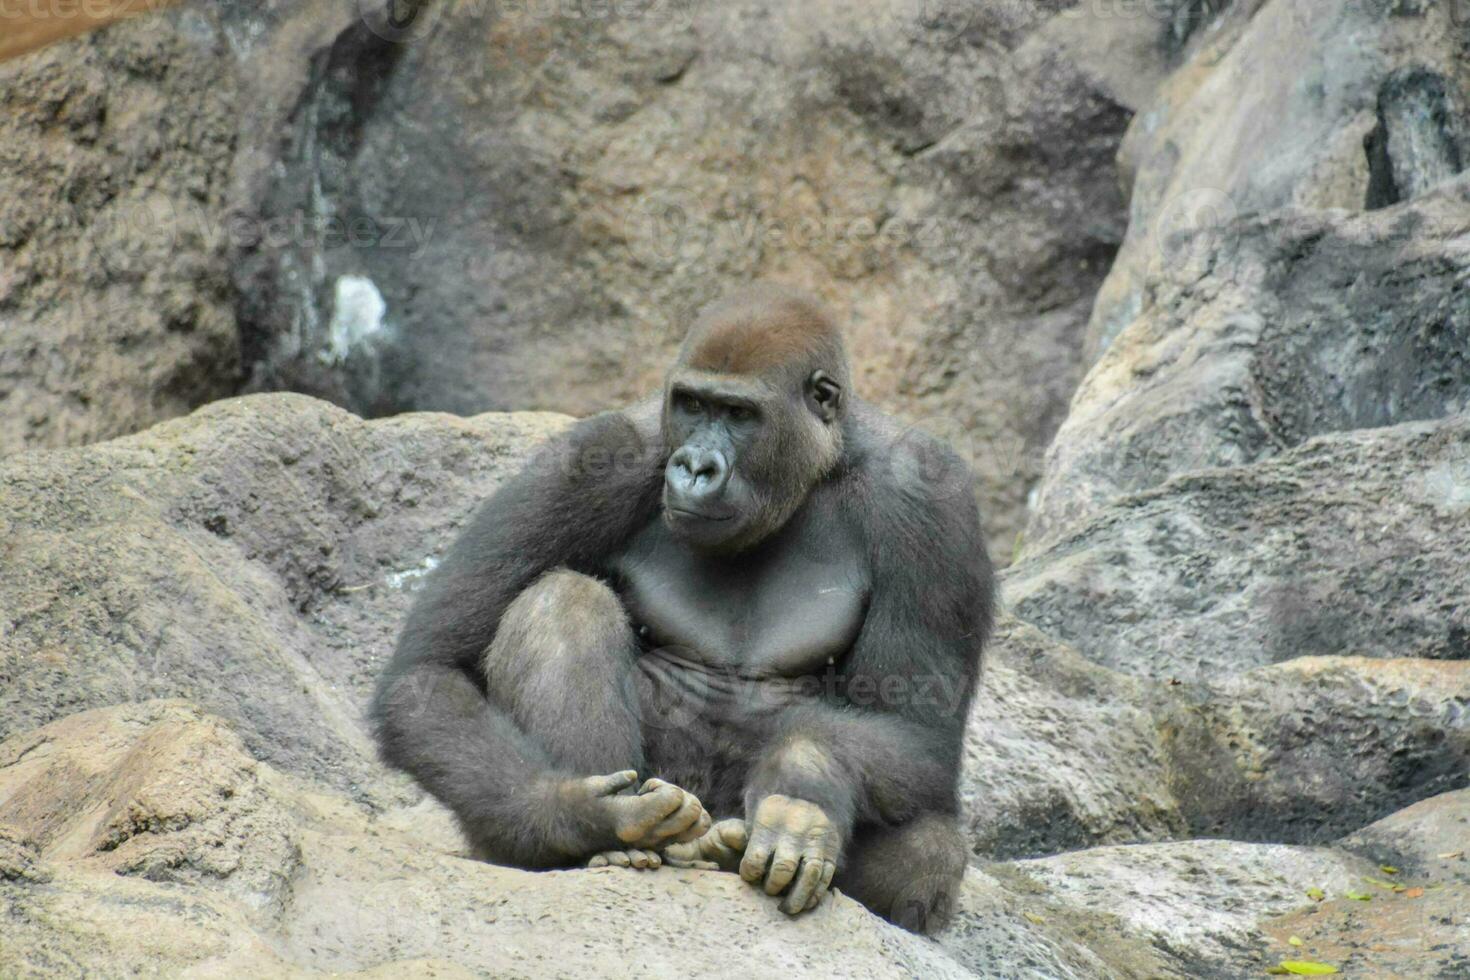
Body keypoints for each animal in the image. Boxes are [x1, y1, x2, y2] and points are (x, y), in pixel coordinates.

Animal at [373, 285, 993, 934]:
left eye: (740, 415)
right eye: (693, 405)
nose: (695, 467)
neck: (815, 464)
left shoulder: (929, 496)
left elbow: (914, 727)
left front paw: (799, 790)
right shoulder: (592, 456)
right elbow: (429, 671)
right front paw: (579, 812)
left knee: (929, 852)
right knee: (559, 601)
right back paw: (605, 845)